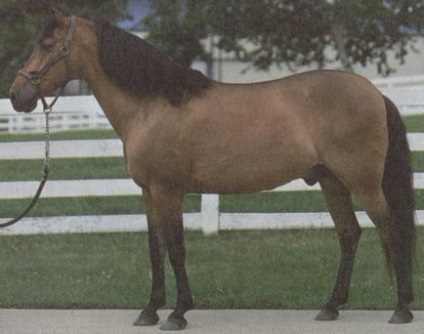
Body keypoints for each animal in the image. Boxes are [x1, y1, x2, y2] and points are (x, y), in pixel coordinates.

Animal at [9, 7, 414, 332]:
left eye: (47, 43)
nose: (16, 96)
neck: (153, 105)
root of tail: (375, 93)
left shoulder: (168, 191)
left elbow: (175, 247)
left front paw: (178, 313)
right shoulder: (148, 192)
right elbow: (155, 248)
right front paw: (150, 310)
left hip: (362, 182)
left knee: (391, 227)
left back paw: (402, 308)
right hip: (332, 182)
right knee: (349, 234)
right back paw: (331, 307)